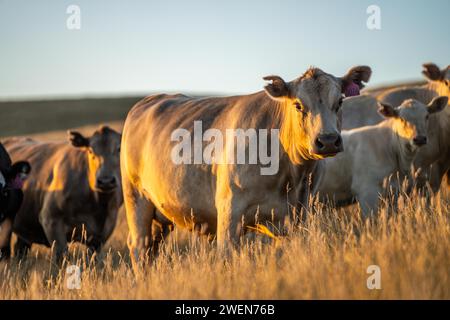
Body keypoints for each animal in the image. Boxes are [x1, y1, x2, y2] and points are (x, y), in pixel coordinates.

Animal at [4, 124, 123, 260]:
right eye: (90, 150)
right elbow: (61, 255)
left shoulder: (103, 231)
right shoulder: (51, 219)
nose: (105, 181)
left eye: (119, 149)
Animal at [120, 63, 372, 268]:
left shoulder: (299, 214)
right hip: (136, 198)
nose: (328, 140)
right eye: (298, 105)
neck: (291, 176)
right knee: (139, 247)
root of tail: (148, 100)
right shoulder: (229, 214)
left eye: (339, 101)